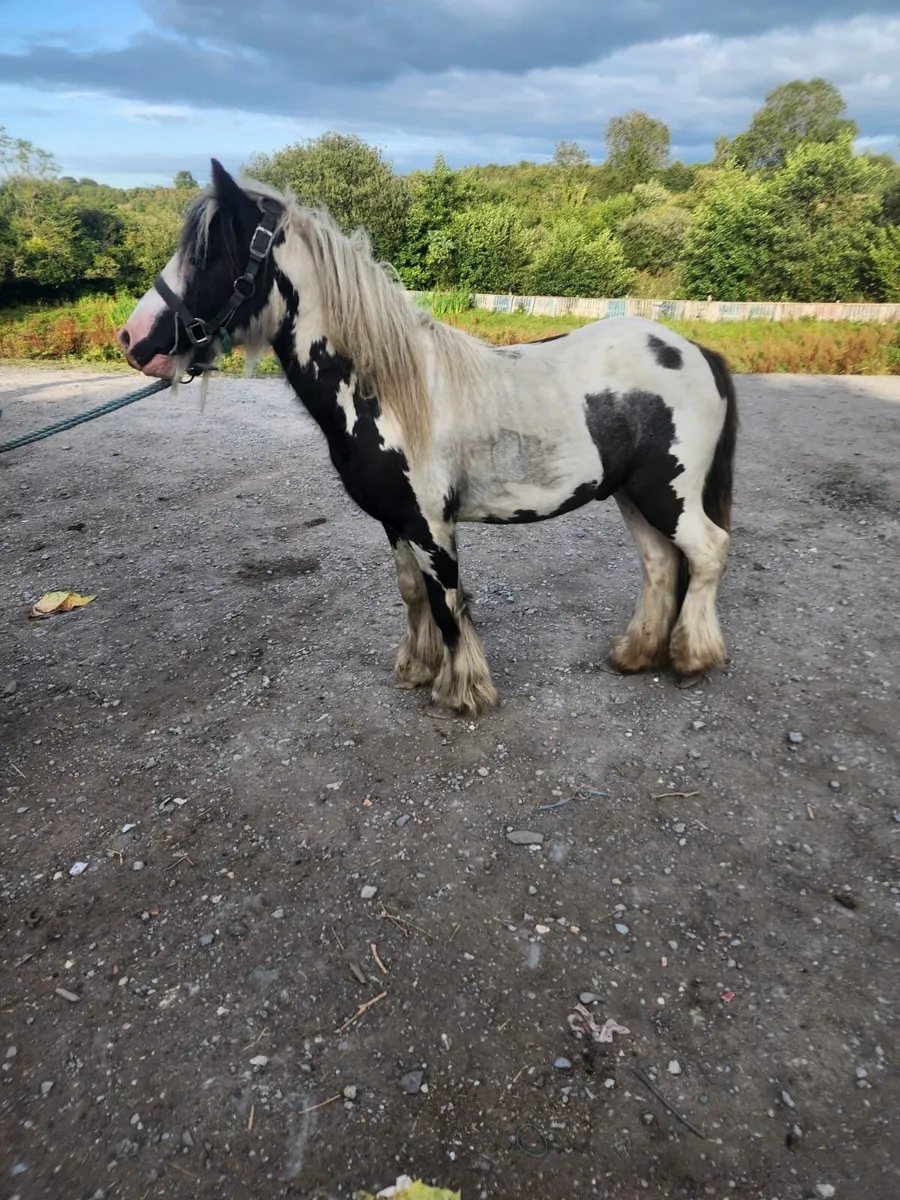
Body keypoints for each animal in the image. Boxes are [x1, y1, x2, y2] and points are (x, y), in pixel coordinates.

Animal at [117, 159, 738, 717]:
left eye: (209, 254)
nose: (132, 339)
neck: (387, 390)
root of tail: (695, 350)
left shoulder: (431, 525)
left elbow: (448, 602)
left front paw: (461, 691)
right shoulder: (395, 522)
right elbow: (412, 592)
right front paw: (417, 668)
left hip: (668, 493)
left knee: (706, 551)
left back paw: (692, 658)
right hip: (634, 493)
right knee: (661, 564)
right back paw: (636, 654)